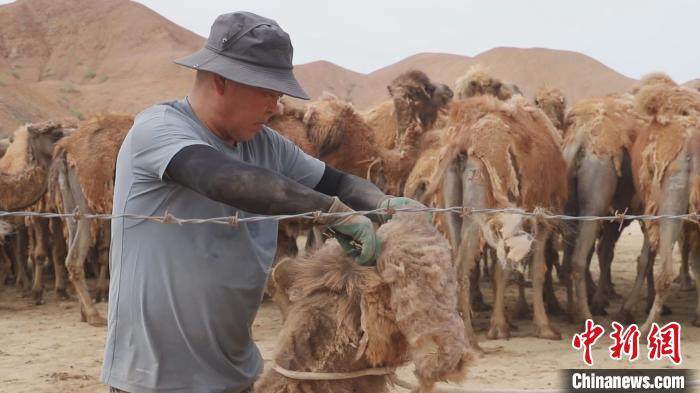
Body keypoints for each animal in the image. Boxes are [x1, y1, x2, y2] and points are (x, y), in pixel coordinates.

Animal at [49, 112, 134, 324]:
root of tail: (66, 149)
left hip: (71, 210)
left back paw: (84, 313)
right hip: (87, 208)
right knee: (75, 257)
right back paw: (94, 315)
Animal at [422, 93, 568, 342]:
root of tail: (462, 141)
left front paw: (502, 324)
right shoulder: (541, 219)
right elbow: (534, 270)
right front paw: (541, 327)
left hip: (451, 206)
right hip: (479, 200)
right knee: (463, 265)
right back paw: (470, 340)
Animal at [628, 83, 700, 330]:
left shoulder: (650, 209)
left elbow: (645, 259)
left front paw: (627, 309)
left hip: (670, 198)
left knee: (665, 271)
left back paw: (645, 328)